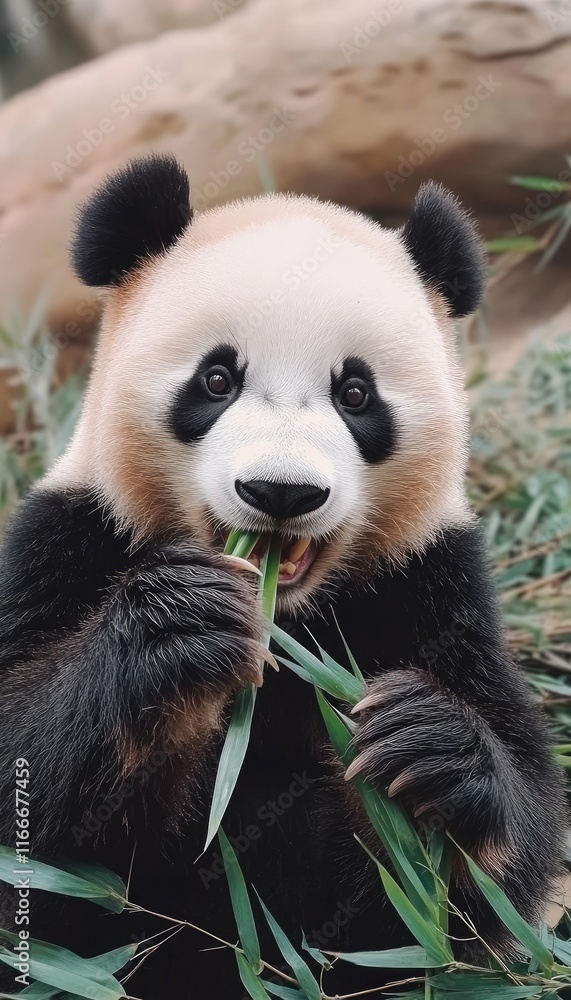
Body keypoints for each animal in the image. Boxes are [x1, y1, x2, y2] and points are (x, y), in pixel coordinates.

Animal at [0, 154, 565, 999]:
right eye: (216, 380)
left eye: (355, 393)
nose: (280, 492)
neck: (288, 614)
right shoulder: (73, 537)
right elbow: (25, 777)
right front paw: (180, 624)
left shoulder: (430, 582)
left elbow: (500, 866)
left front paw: (425, 741)